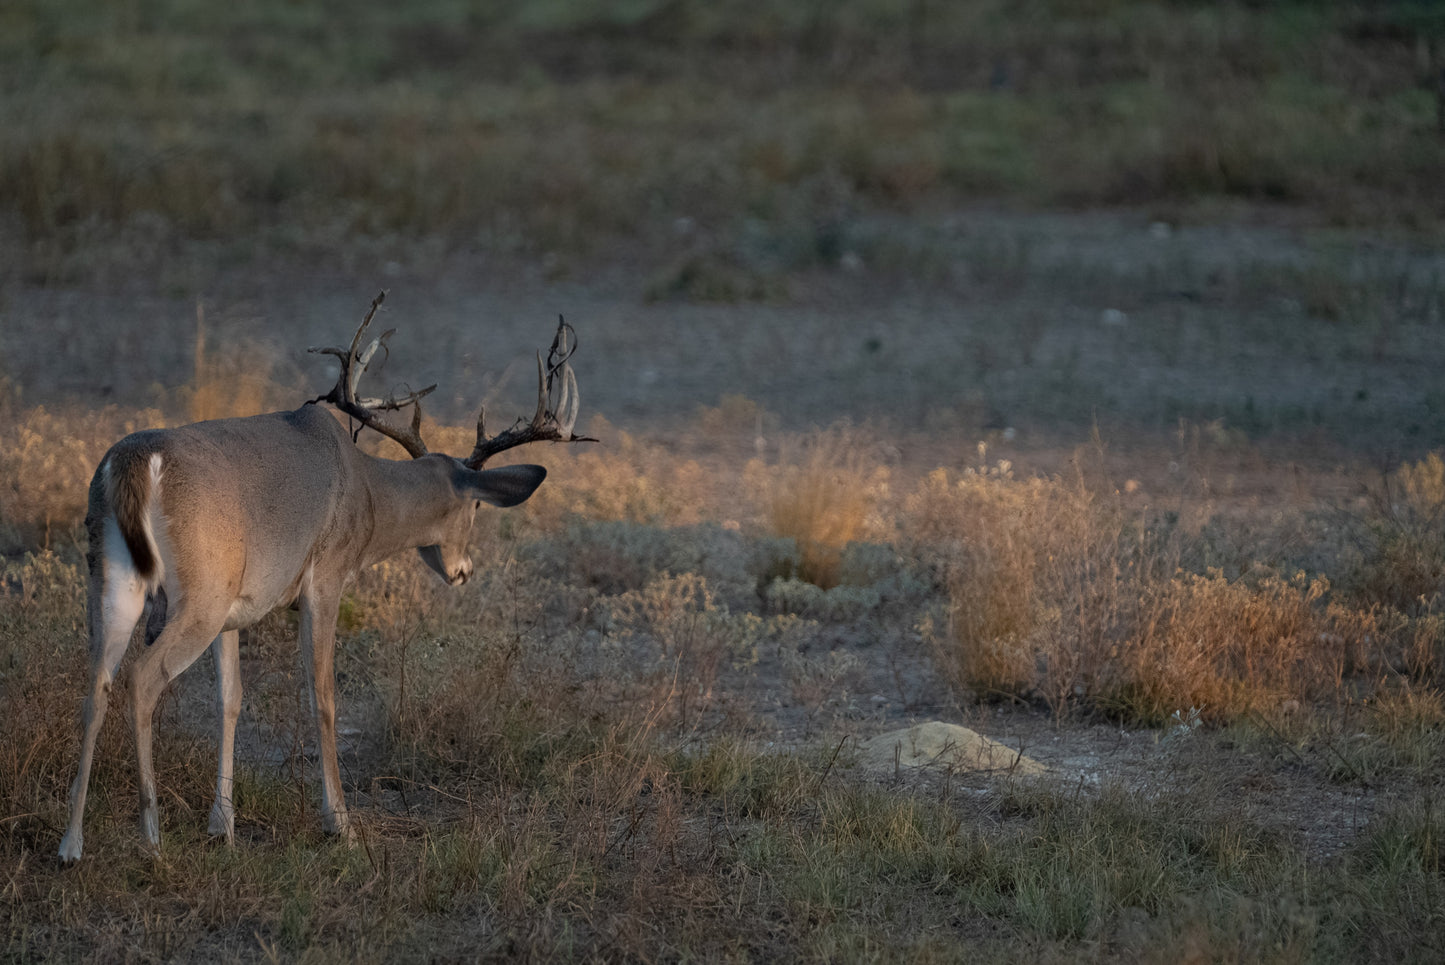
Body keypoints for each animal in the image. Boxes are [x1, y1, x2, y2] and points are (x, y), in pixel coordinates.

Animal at [56, 291, 586, 860]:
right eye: (476, 510)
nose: (464, 571)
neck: (367, 492)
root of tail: (132, 463)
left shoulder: (237, 608)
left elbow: (230, 699)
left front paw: (223, 825)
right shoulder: (325, 577)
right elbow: (323, 696)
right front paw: (341, 823)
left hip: (116, 583)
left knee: (96, 684)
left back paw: (71, 844)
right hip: (198, 594)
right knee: (141, 679)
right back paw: (151, 839)